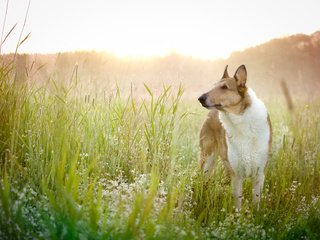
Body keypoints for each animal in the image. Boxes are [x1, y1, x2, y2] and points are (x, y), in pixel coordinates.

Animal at [199, 64, 272, 209]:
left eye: (225, 87)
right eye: (214, 86)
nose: (200, 98)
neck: (242, 122)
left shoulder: (259, 173)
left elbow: (256, 201)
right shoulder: (236, 175)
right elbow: (237, 203)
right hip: (207, 161)